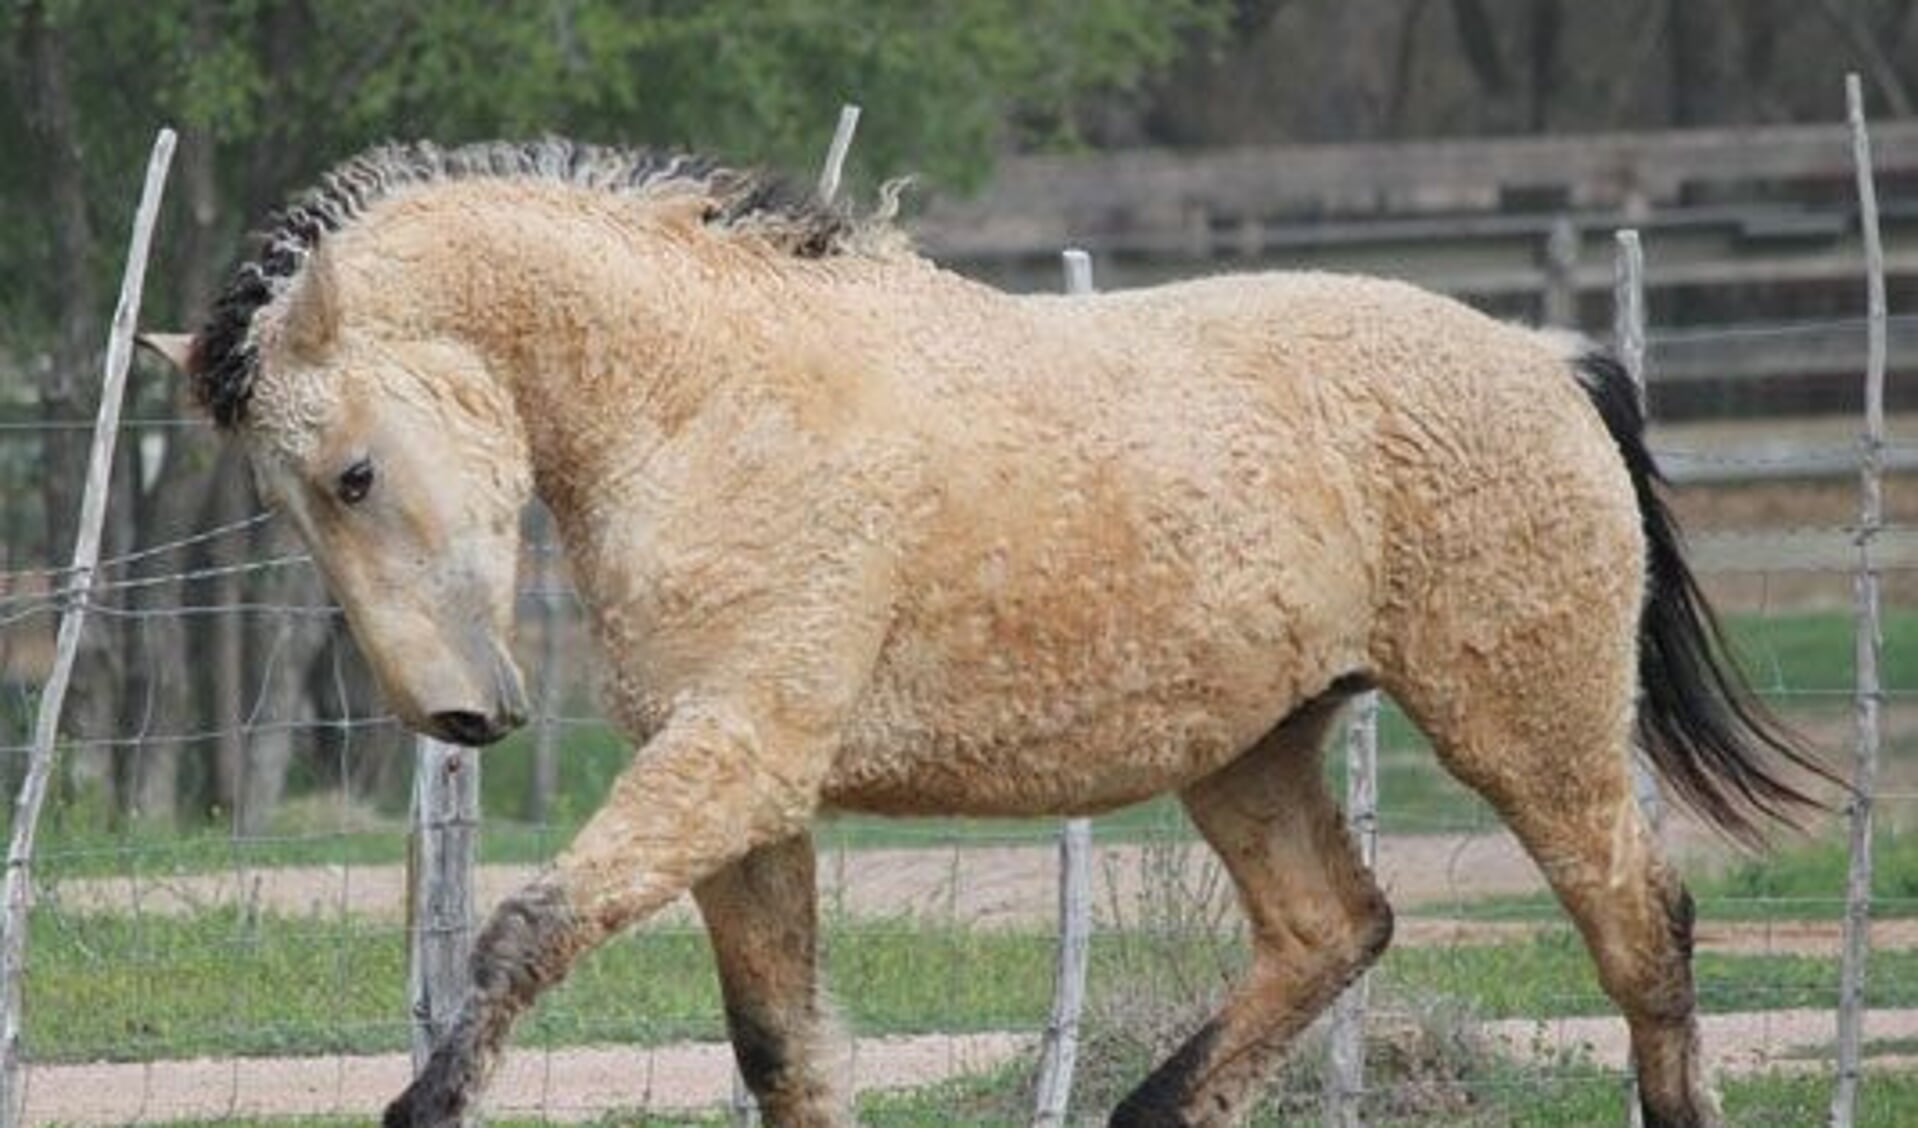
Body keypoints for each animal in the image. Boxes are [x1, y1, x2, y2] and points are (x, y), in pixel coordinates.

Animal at [145, 141, 1825, 1128]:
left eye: (352, 475)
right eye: (292, 502)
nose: (459, 717)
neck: (706, 402)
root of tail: (1546, 360)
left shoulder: (732, 764)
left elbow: (522, 931)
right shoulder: (746, 802)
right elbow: (782, 1050)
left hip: (1527, 733)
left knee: (1641, 937)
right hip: (1250, 752)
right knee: (1331, 933)